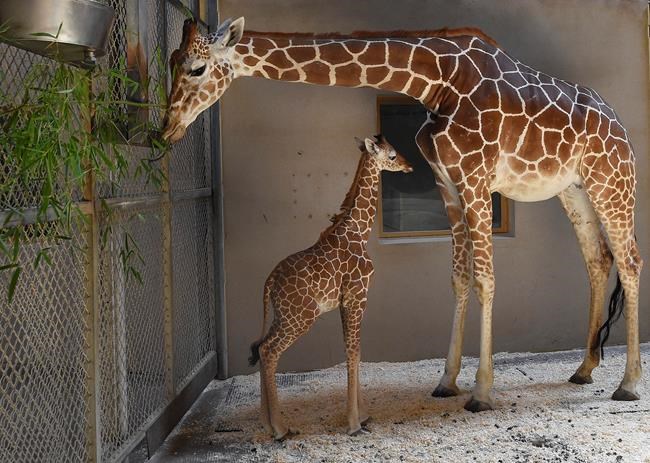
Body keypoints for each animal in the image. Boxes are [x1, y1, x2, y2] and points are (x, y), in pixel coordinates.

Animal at [247, 135, 413, 440]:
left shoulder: (345, 301)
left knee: (262, 347)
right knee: (269, 352)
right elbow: (353, 351)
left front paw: (363, 415)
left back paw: (267, 423)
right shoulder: (357, 296)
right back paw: (280, 429)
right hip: (302, 317)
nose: (410, 165)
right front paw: (354, 422)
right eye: (393, 155)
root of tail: (269, 282)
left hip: (283, 316)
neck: (359, 232)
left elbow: (356, 351)